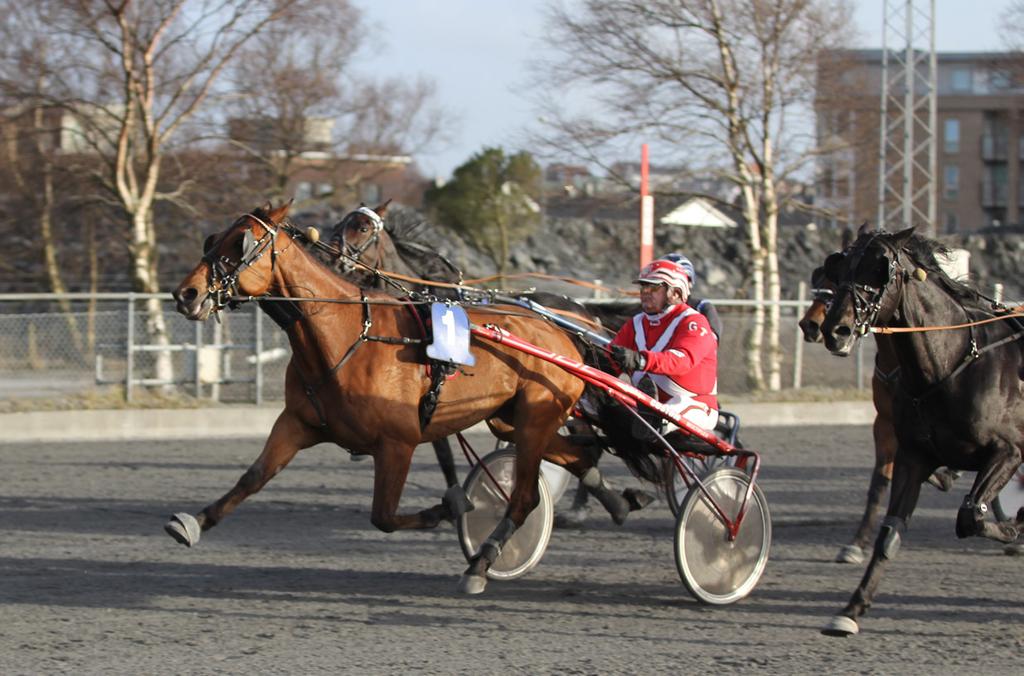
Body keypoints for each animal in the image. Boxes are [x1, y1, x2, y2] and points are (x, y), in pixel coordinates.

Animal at [168, 200, 598, 589]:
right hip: (511, 420)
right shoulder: (297, 423)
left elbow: (385, 516)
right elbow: (253, 477)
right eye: (213, 238)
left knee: (527, 496)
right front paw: (194, 522)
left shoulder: (398, 442)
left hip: (536, 417)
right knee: (581, 457)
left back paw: (481, 563)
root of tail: (565, 331)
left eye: (240, 242)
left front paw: (451, 507)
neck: (347, 334)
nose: (185, 293)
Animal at [815, 224, 1024, 635]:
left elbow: (971, 516)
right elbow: (890, 533)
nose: (836, 329)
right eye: (839, 265)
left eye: (881, 269)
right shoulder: (913, 455)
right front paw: (851, 609)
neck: (952, 363)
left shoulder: (1009, 450)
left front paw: (1014, 529)